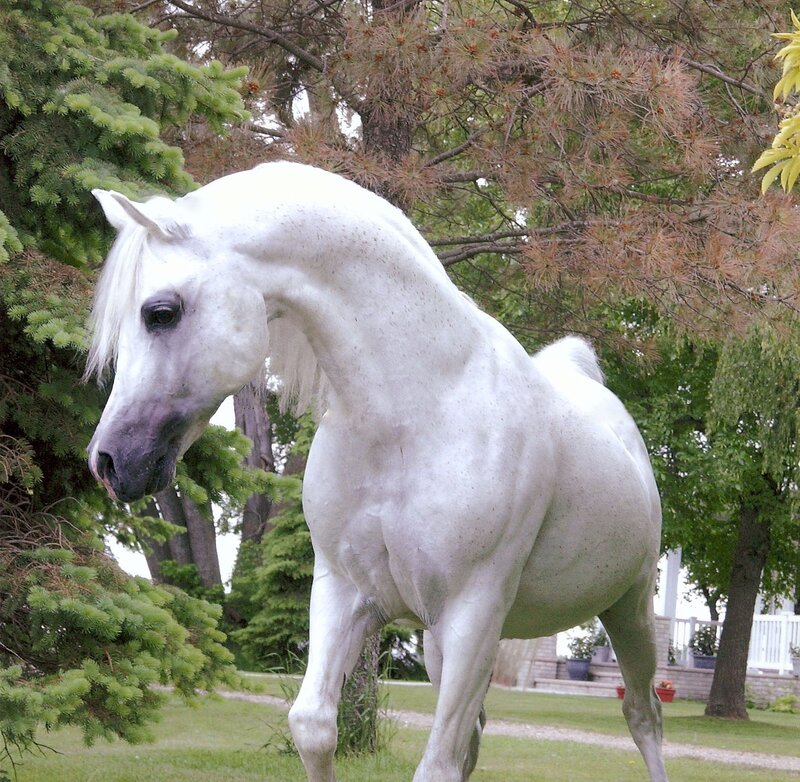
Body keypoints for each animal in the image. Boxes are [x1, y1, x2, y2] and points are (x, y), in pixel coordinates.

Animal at [86, 161, 668, 782]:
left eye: (160, 312)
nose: (108, 462)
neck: (416, 412)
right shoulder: (347, 593)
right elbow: (314, 726)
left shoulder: (473, 614)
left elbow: (436, 765)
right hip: (442, 647)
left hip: (627, 612)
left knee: (643, 717)